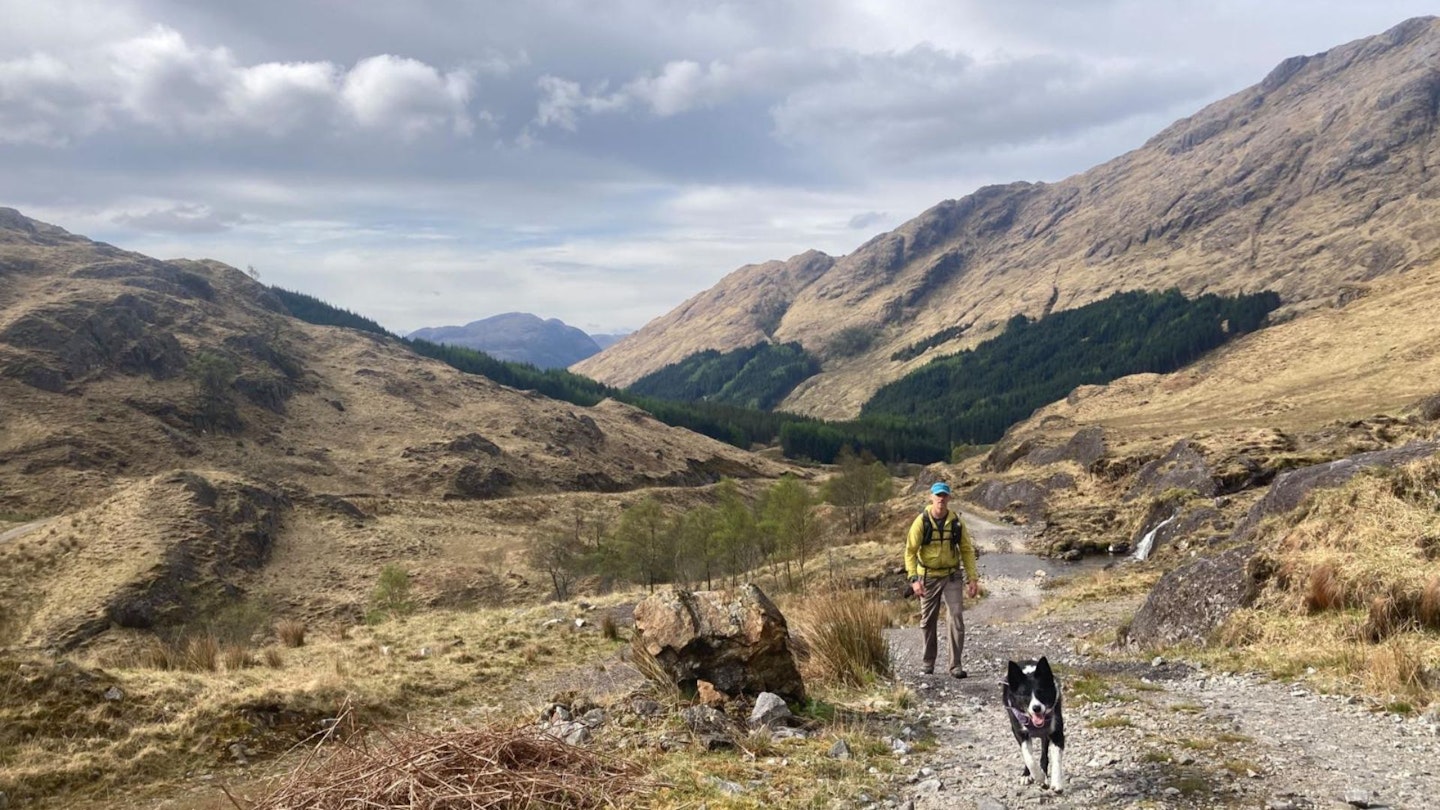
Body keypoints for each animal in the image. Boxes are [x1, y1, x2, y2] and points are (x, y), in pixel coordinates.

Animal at [1008, 657, 1065, 789]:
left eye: (1041, 692)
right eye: (1024, 695)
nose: (1036, 708)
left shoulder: (1056, 732)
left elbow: (1056, 758)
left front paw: (1056, 783)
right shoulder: (1019, 732)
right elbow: (1028, 757)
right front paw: (1037, 776)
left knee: (1044, 755)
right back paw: (1028, 775)